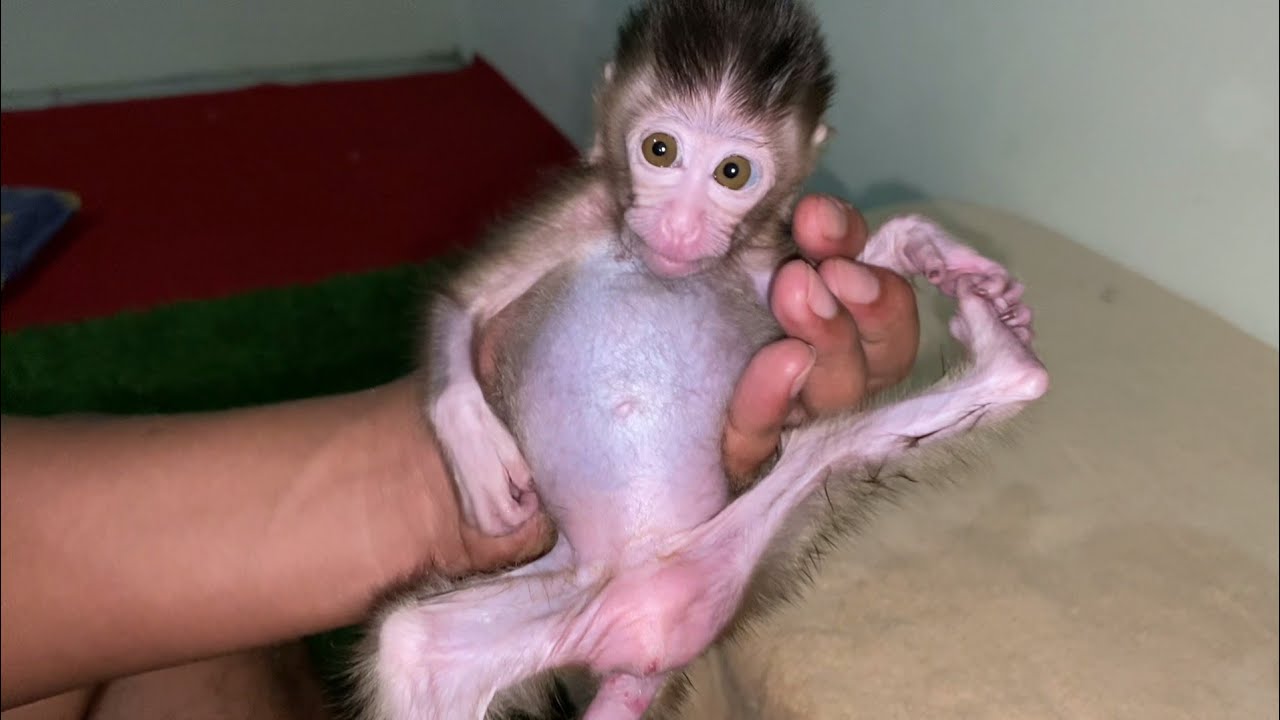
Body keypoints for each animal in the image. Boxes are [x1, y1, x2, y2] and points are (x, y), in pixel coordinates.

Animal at [348, 1, 1048, 718]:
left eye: (732, 172)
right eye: (660, 150)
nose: (682, 227)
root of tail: (645, 633)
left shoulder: (765, 264)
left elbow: (825, 280)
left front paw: (916, 245)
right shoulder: (575, 210)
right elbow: (460, 304)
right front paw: (475, 449)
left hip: (751, 540)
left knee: (838, 447)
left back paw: (1004, 354)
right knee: (410, 645)